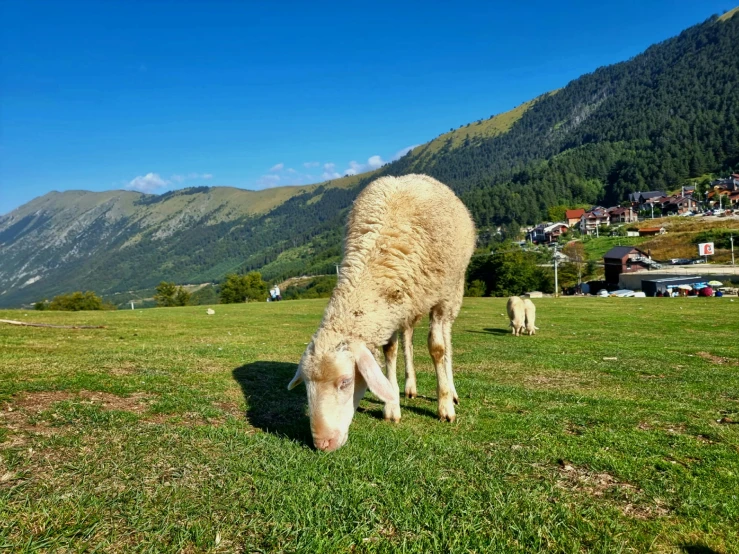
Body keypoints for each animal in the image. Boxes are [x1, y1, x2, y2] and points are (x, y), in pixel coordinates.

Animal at [286, 175, 476, 450]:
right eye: (307, 385)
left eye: (345, 382)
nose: (322, 443)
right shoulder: (392, 308)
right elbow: (390, 351)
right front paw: (392, 406)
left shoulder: (440, 299)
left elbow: (437, 348)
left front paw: (444, 407)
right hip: (407, 304)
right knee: (407, 337)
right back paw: (410, 386)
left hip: (453, 290)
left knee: (446, 337)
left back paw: (451, 391)